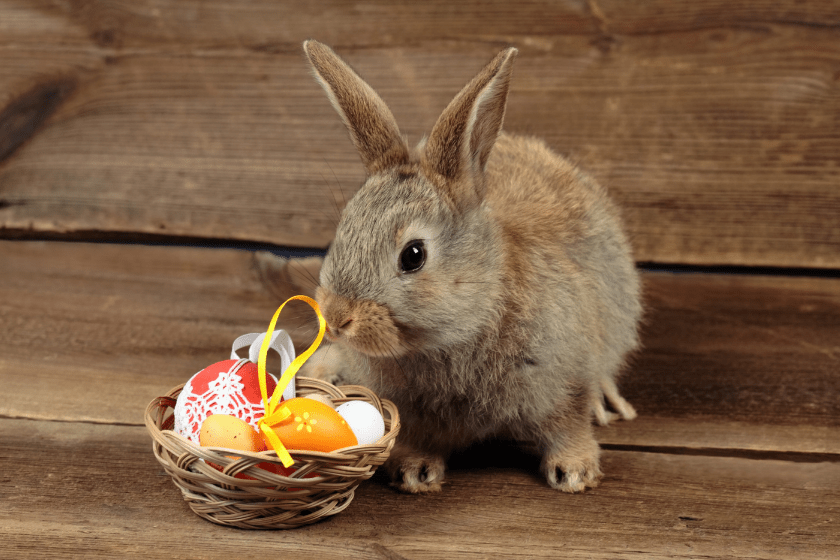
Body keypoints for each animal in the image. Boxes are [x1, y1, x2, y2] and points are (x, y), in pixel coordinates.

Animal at [282, 40, 644, 494]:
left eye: (413, 255)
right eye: (342, 230)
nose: (336, 318)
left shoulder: (564, 381)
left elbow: (568, 425)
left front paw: (575, 473)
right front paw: (414, 473)